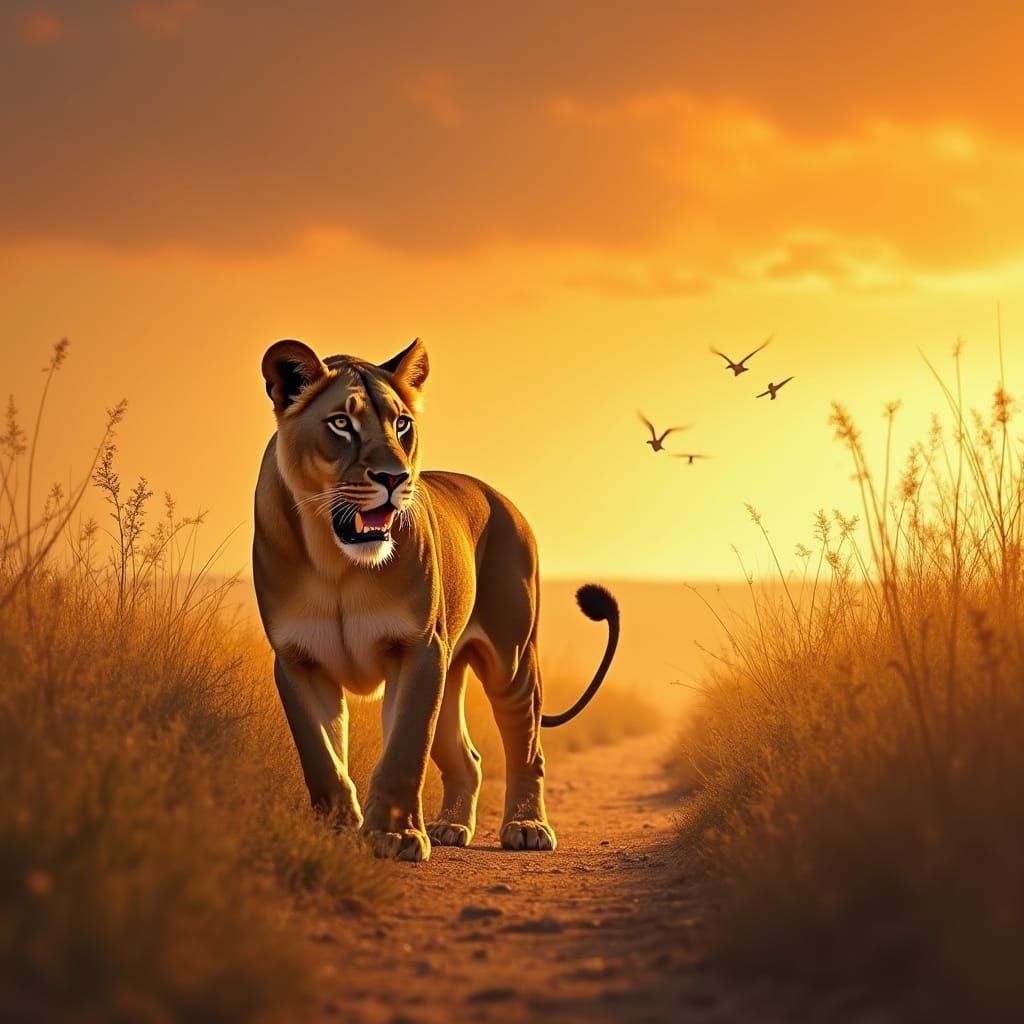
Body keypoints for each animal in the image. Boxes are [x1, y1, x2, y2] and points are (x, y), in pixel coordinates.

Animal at [253, 338, 619, 861]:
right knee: (468, 758)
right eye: (341, 423)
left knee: (527, 748)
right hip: (450, 673)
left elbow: (405, 749)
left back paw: (527, 827)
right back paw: (451, 826)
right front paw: (337, 833)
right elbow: (321, 758)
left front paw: (395, 835)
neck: (335, 563)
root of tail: (503, 498)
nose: (394, 477)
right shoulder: (298, 659)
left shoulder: (417, 649)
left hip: (510, 661)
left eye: (402, 423)